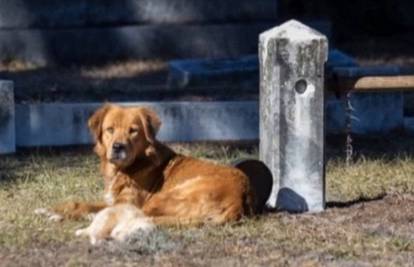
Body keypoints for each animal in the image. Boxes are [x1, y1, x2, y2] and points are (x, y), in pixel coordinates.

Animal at [36, 104, 256, 243]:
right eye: (110, 129)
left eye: (133, 131)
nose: (118, 147)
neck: (126, 168)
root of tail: (239, 197)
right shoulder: (114, 201)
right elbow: (81, 203)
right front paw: (53, 209)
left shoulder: (128, 203)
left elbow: (96, 210)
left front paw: (61, 214)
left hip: (161, 198)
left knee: (140, 217)